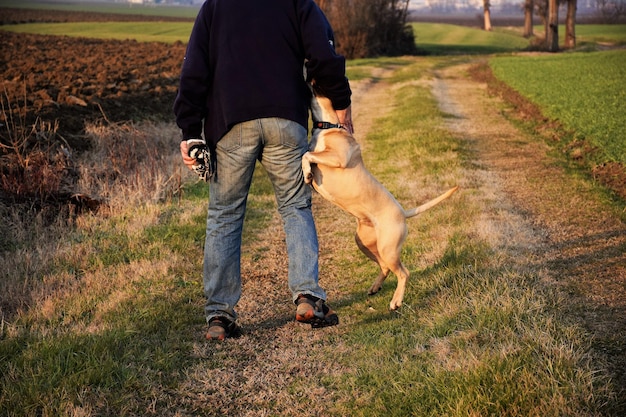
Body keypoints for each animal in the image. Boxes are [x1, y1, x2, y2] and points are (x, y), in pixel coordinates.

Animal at [300, 86, 456, 310]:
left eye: (317, 87)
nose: (307, 83)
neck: (330, 125)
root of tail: (402, 212)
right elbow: (308, 153)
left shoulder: (338, 157)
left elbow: (307, 155)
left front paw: (307, 173)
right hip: (365, 242)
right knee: (385, 267)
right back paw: (375, 287)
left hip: (388, 248)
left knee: (403, 272)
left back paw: (396, 301)